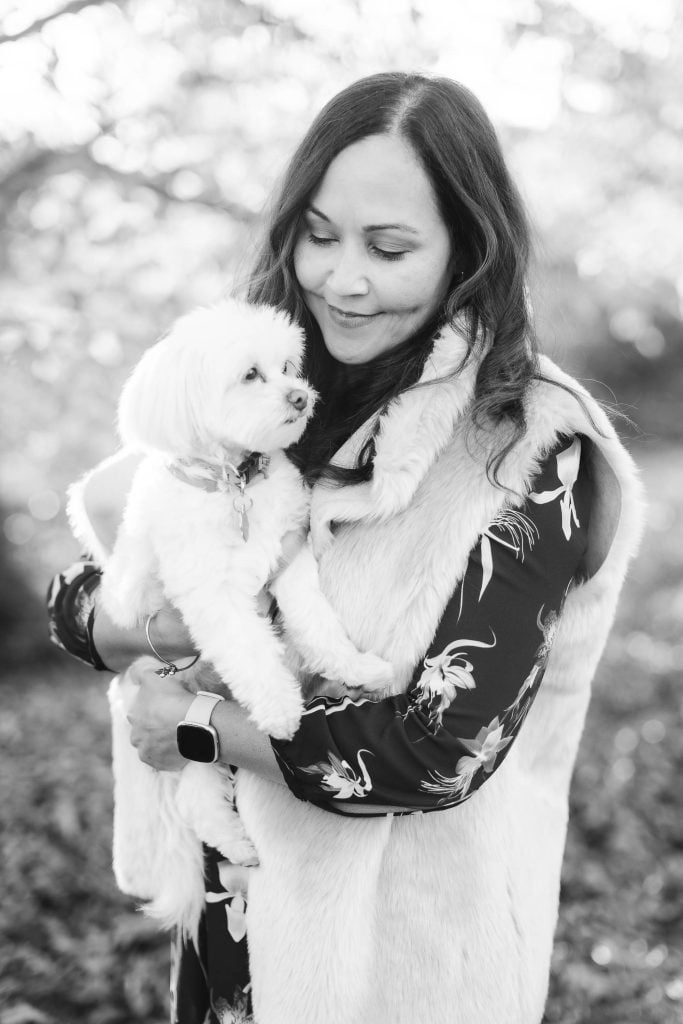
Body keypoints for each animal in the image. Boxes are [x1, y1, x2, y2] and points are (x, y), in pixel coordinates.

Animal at [68, 299, 395, 937]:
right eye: (250, 375)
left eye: (288, 365)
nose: (301, 397)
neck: (233, 483)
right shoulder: (210, 596)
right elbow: (249, 650)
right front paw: (280, 709)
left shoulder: (287, 558)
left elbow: (317, 623)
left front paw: (354, 667)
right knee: (197, 792)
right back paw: (235, 843)